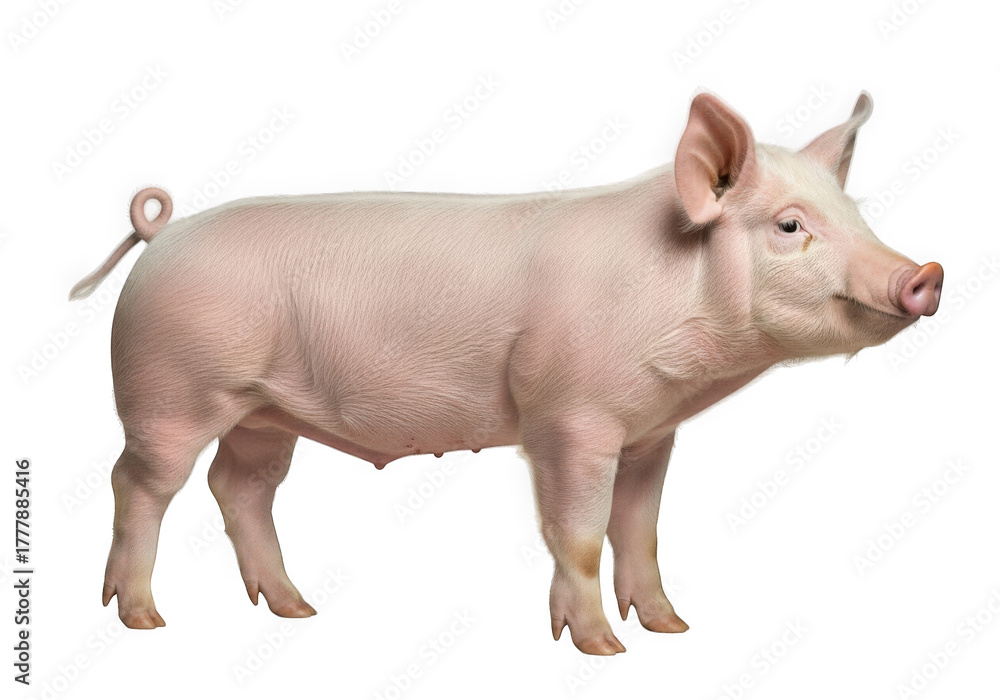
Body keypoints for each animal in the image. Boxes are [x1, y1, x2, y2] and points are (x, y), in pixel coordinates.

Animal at [70, 91, 942, 655]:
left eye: (859, 214)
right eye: (790, 225)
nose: (926, 272)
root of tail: (164, 236)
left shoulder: (649, 432)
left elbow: (641, 529)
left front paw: (673, 629)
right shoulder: (569, 418)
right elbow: (580, 535)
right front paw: (603, 650)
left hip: (261, 414)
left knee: (240, 486)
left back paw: (298, 612)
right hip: (171, 392)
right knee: (138, 484)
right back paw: (145, 620)